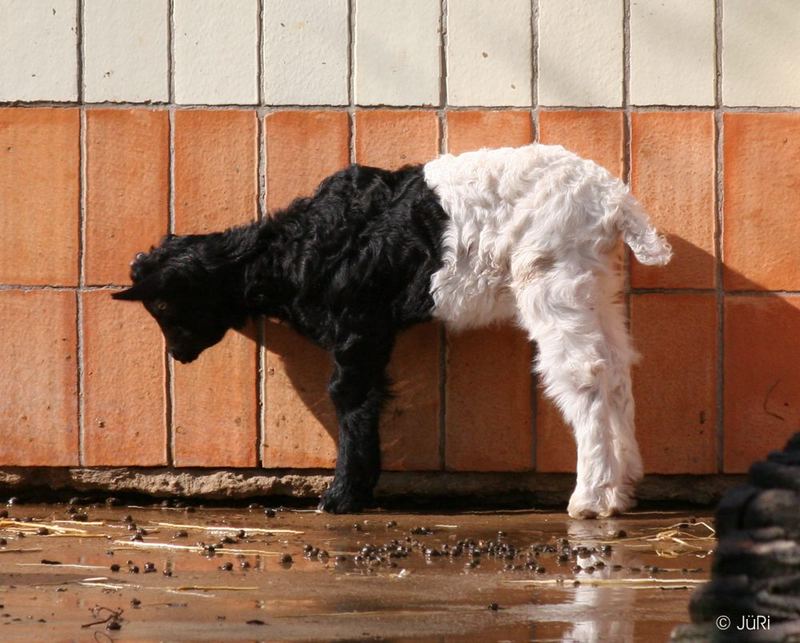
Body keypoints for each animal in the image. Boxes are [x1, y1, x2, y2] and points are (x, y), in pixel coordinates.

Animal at [115, 145, 672, 520]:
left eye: (162, 304)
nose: (178, 355)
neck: (294, 248)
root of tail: (613, 200)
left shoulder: (360, 328)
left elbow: (350, 397)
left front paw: (343, 495)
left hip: (554, 280)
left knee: (585, 376)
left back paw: (590, 498)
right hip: (597, 287)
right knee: (617, 369)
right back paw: (623, 488)